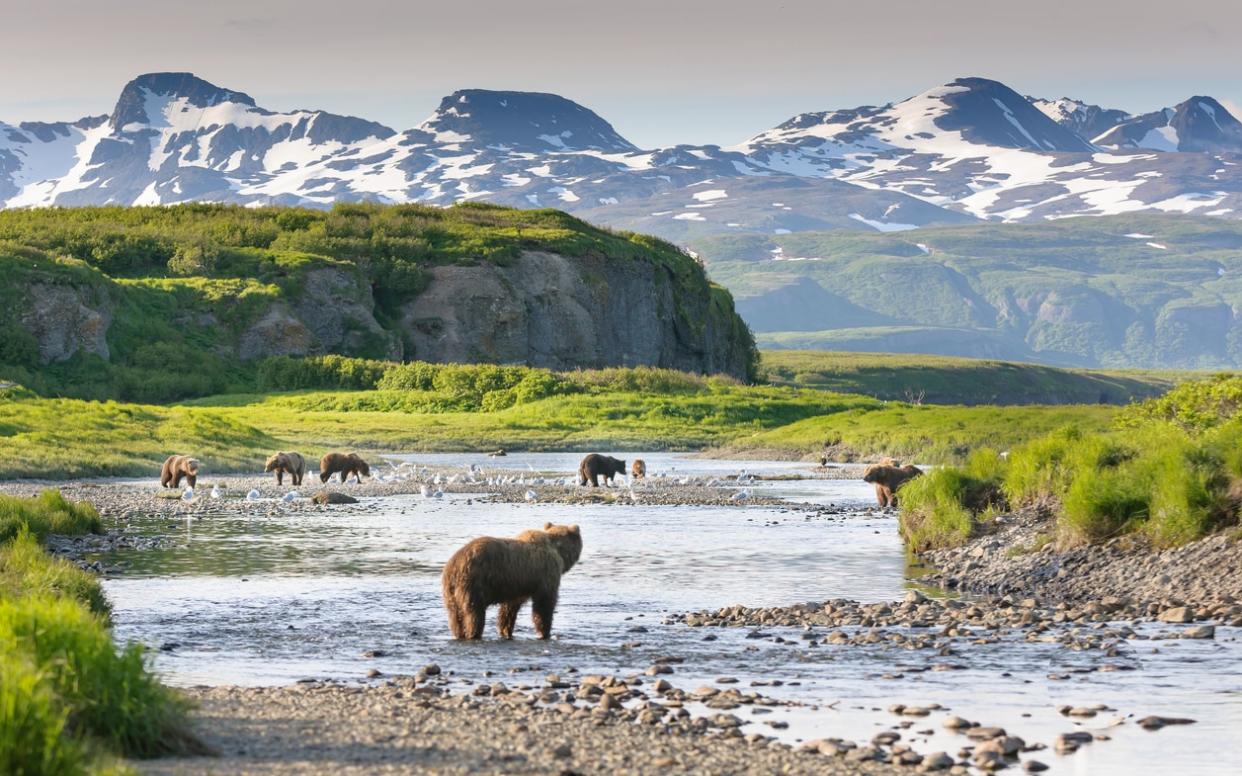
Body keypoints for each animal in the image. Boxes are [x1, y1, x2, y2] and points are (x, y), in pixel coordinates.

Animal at [444, 521, 583, 640]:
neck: (558, 551)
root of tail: (455, 565)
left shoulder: (517, 586)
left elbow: (509, 609)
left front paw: (505, 631)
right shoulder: (546, 574)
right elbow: (544, 604)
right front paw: (545, 632)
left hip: (450, 591)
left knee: (455, 616)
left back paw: (458, 634)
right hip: (474, 583)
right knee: (474, 613)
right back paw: (473, 633)